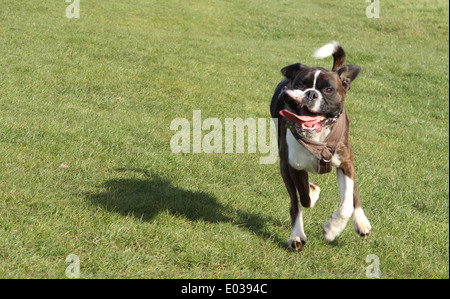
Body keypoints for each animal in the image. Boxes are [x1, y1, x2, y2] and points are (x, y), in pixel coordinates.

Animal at [268, 42, 370, 251]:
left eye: (329, 89)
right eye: (300, 84)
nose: (311, 93)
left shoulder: (345, 163)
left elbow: (347, 203)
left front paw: (332, 229)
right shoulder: (294, 167)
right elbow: (304, 198)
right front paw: (313, 192)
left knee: (353, 193)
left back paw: (361, 221)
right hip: (285, 167)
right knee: (296, 202)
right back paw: (297, 236)